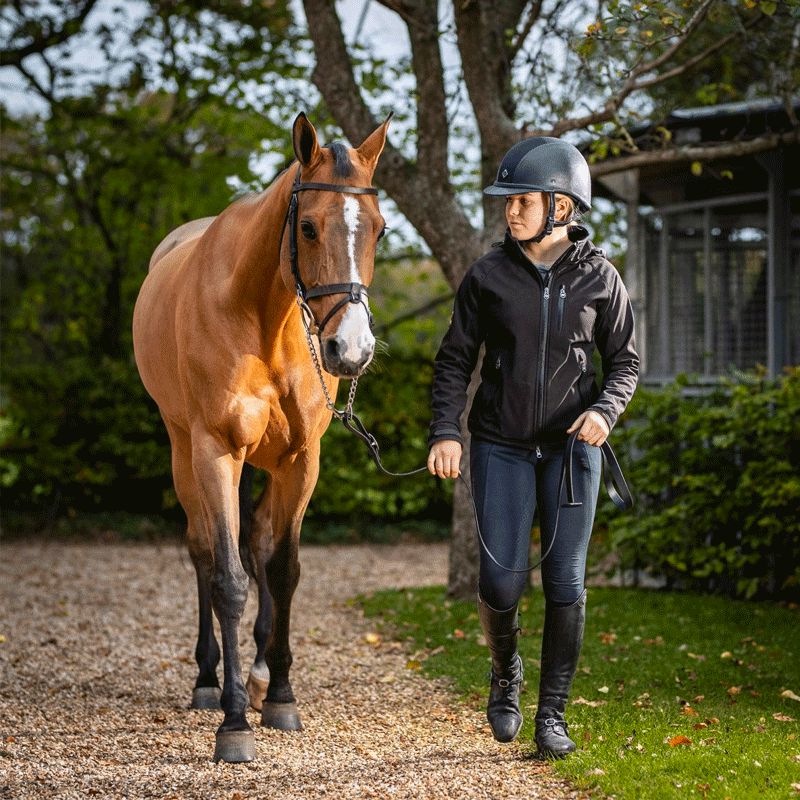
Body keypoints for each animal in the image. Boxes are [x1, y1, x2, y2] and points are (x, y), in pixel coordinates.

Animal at [133, 112, 392, 764]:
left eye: (379, 229)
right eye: (307, 226)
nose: (351, 349)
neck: (262, 315)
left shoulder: (300, 461)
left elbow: (282, 569)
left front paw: (279, 696)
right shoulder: (217, 452)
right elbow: (228, 579)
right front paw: (233, 726)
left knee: (258, 543)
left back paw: (253, 676)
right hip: (184, 452)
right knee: (204, 551)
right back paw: (208, 681)